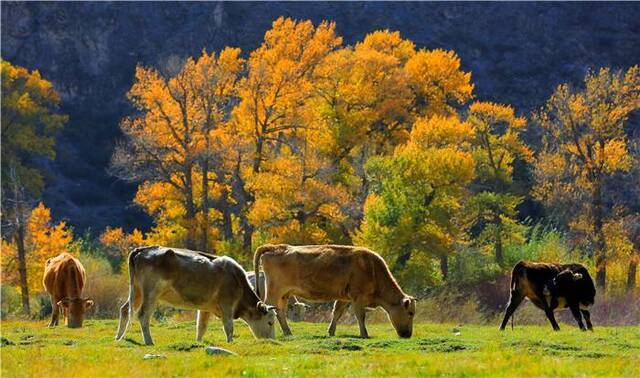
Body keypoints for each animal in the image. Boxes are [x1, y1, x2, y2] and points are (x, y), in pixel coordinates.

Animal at [115, 245, 276, 346]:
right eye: (270, 322)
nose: (273, 341)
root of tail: (143, 249)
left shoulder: (205, 307)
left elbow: (201, 326)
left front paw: (197, 342)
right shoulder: (227, 305)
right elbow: (229, 327)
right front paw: (230, 343)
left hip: (137, 292)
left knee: (125, 310)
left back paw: (118, 337)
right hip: (151, 293)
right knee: (143, 315)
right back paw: (149, 341)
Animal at [252, 245, 418, 340]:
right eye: (410, 313)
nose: (408, 335)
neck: (372, 269)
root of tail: (276, 247)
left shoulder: (345, 298)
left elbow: (337, 313)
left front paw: (331, 332)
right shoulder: (357, 298)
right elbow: (360, 316)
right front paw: (364, 334)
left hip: (284, 294)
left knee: (280, 311)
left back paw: (288, 332)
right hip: (274, 291)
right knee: (271, 308)